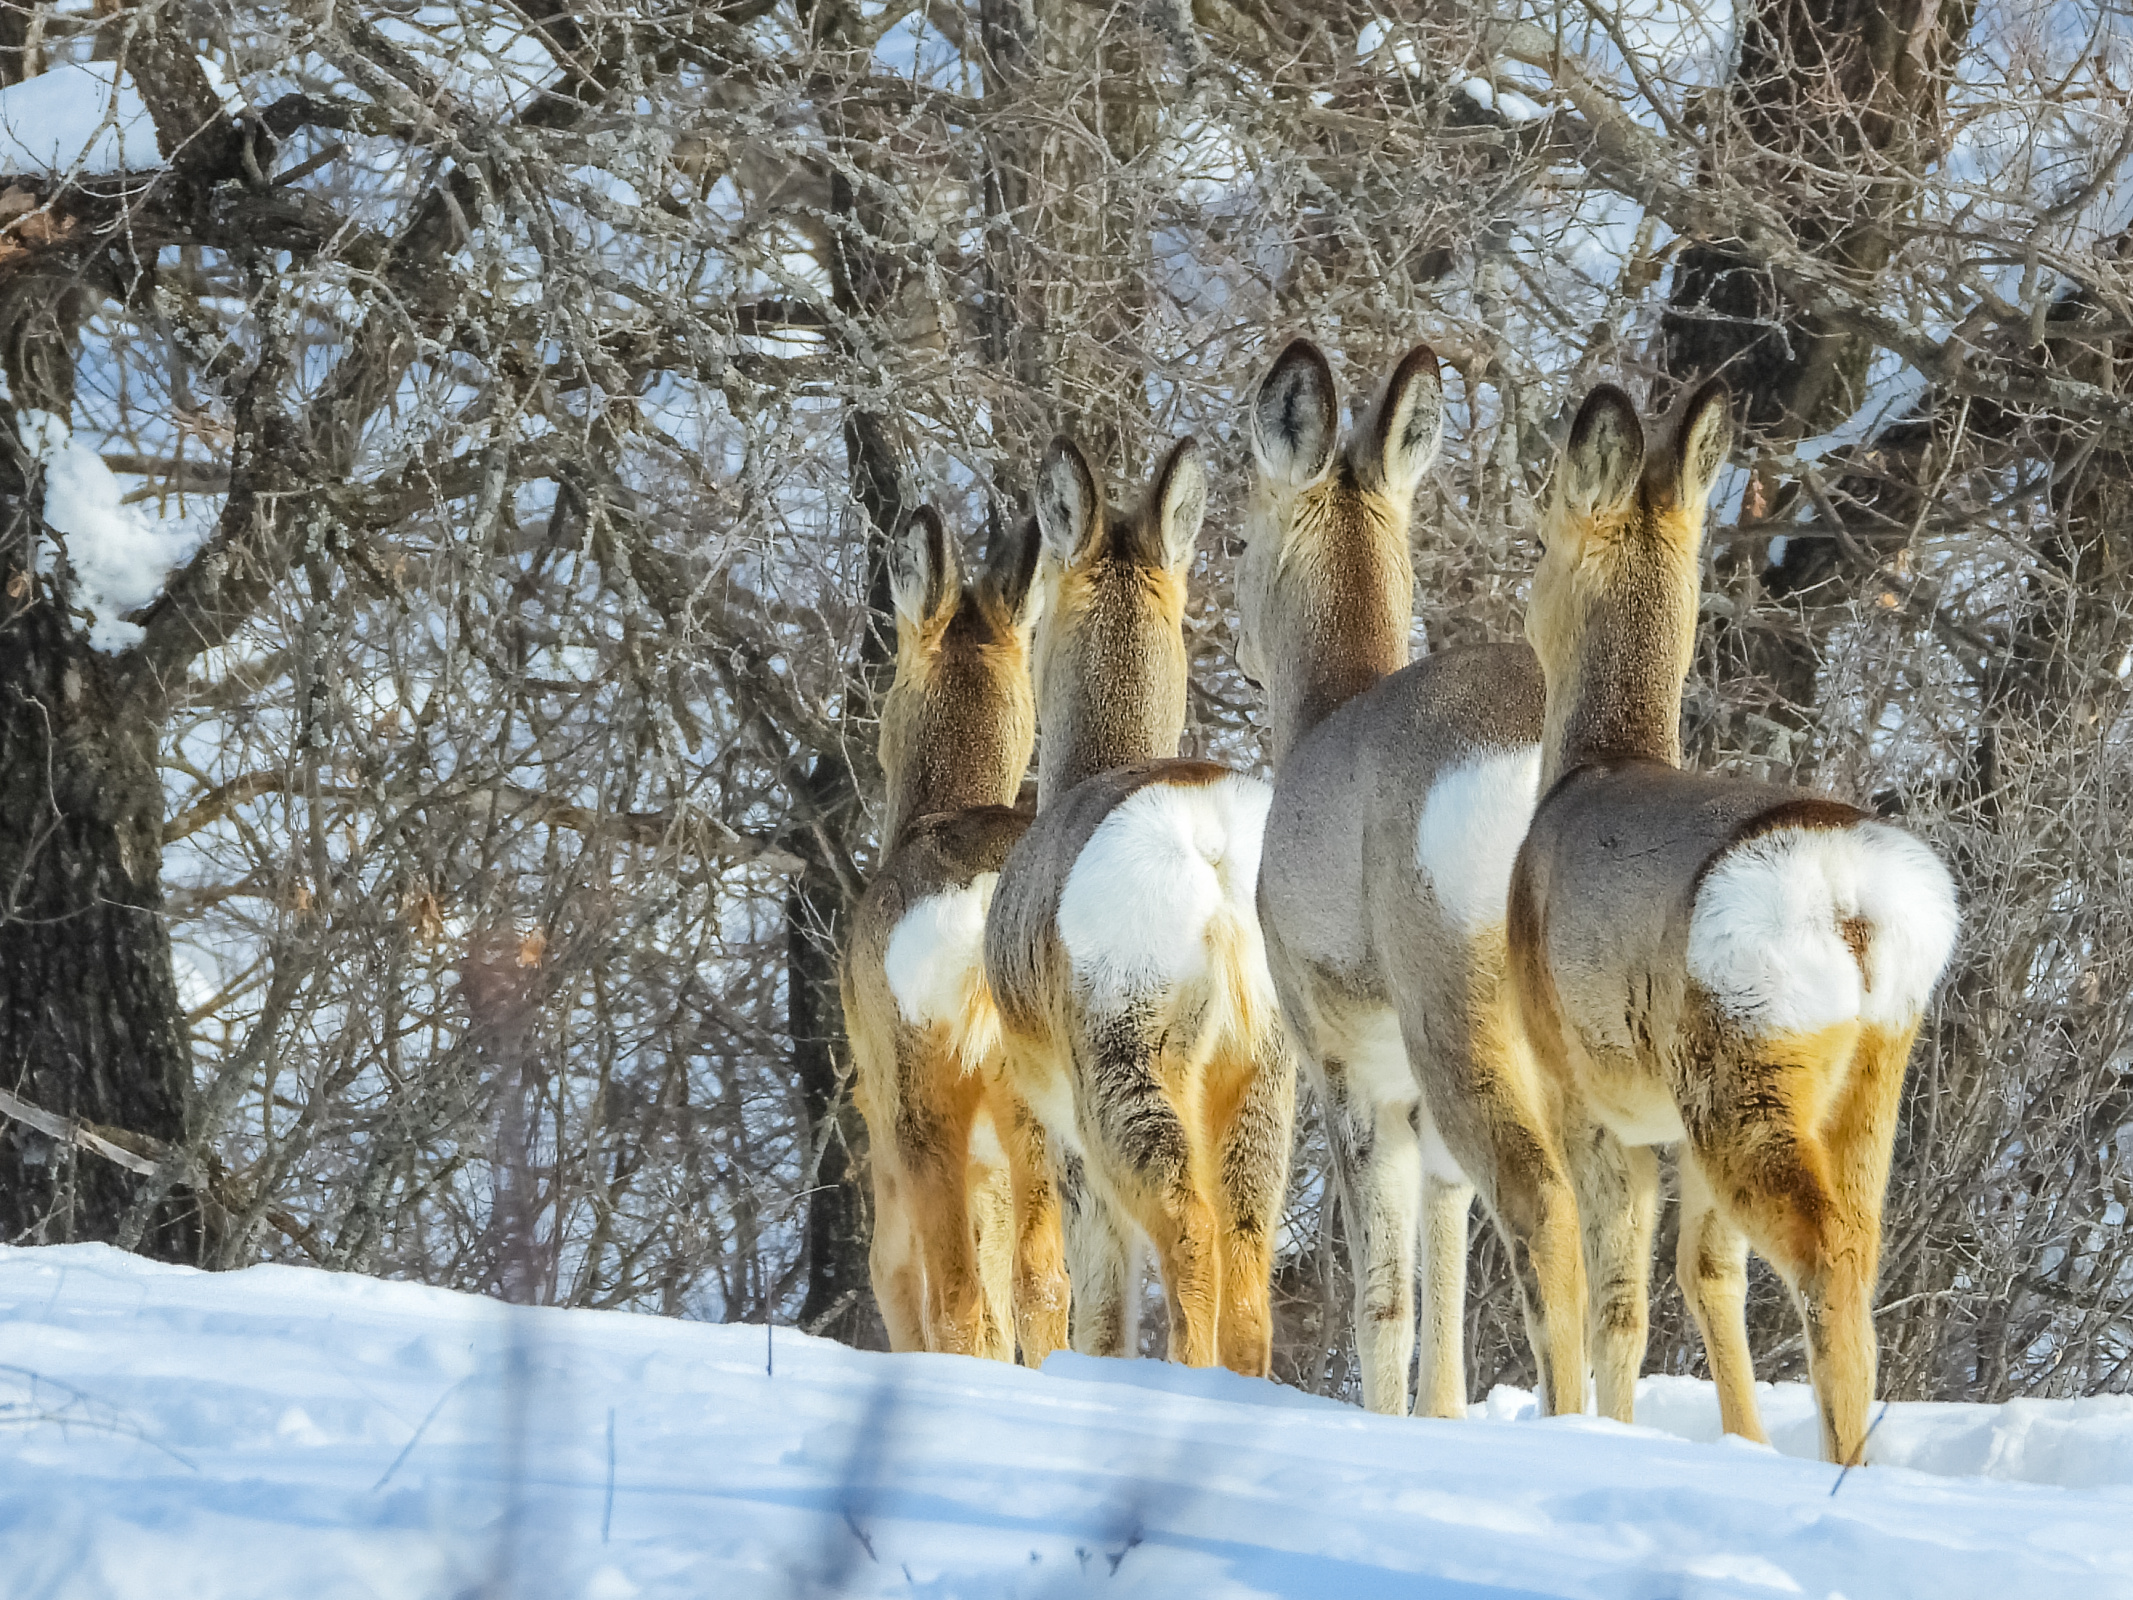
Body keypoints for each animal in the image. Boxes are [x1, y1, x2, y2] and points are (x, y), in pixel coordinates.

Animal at [976, 435, 1288, 1382]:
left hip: (1121, 1068)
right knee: (1247, 1257)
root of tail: (1211, 849)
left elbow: (1084, 1295)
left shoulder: (1051, 1122)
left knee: (1186, 1234)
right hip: (1260, 1076)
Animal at [1237, 339, 1586, 1416]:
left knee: (1547, 1213)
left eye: (1236, 535)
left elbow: (1384, 1299)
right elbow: (1444, 1268)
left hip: (1452, 1010)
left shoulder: (1344, 1056)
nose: (1244, 659)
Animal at [1510, 386, 1953, 1467]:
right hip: (1861, 1073)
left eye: (1539, 535)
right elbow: (1706, 1274)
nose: (1518, 593)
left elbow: (1617, 1301)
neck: (1592, 766)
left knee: (1822, 1251)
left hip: (1739, 1058)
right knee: (1850, 1253)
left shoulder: (1582, 1085)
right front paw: (1739, 1443)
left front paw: (1596, 1431)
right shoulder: (1664, 1114)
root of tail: (1849, 897)